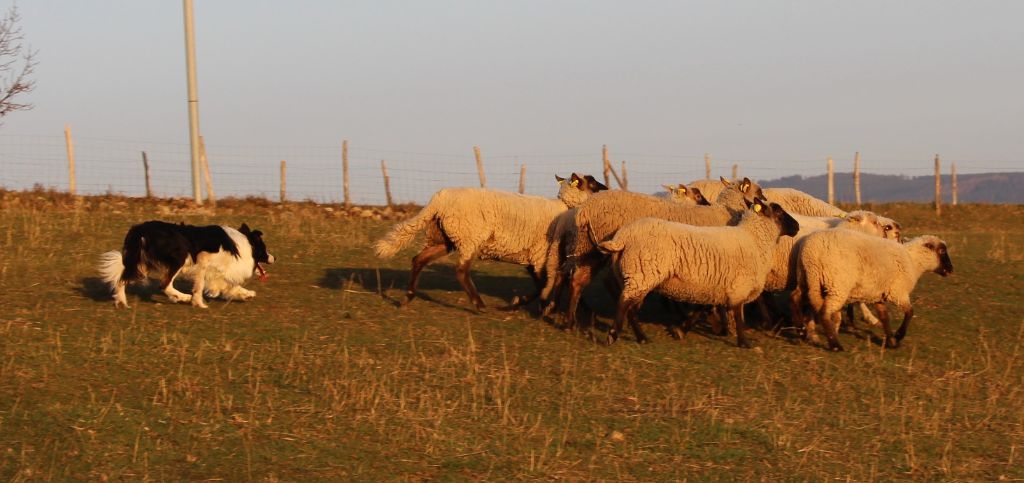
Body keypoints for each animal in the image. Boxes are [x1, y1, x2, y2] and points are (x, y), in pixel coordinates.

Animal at [98, 221, 275, 308]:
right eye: (264, 249)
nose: (274, 258)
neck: (244, 244)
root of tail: (141, 229)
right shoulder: (204, 260)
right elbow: (203, 284)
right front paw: (198, 302)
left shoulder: (214, 270)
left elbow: (225, 285)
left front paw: (246, 294)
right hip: (179, 256)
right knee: (164, 284)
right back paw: (182, 297)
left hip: (142, 263)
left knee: (122, 279)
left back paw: (121, 301)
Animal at [372, 174, 605, 311]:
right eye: (593, 182)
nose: (606, 188)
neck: (565, 207)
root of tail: (439, 199)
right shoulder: (541, 255)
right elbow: (542, 286)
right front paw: (520, 302)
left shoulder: (533, 257)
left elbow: (544, 283)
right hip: (469, 236)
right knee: (460, 270)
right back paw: (479, 304)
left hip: (444, 237)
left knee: (418, 260)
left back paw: (407, 298)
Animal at [558, 177, 766, 330]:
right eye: (758, 192)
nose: (763, 202)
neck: (724, 212)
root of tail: (584, 210)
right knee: (609, 282)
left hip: (589, 249)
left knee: (578, 281)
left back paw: (570, 322)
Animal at [598, 198, 800, 347]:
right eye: (778, 211)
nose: (797, 226)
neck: (755, 240)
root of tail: (623, 236)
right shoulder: (738, 287)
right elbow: (738, 316)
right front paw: (744, 342)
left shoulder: (717, 287)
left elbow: (702, 309)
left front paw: (680, 330)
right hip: (642, 274)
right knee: (624, 303)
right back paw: (614, 335)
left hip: (637, 275)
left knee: (630, 307)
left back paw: (641, 338)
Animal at [791, 231, 953, 351]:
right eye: (942, 251)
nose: (951, 269)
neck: (913, 261)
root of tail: (812, 251)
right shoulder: (897, 292)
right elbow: (910, 312)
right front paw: (898, 335)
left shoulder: (878, 295)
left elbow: (885, 317)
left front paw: (891, 342)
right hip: (837, 285)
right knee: (824, 312)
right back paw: (835, 345)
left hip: (807, 277)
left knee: (795, 297)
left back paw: (801, 329)